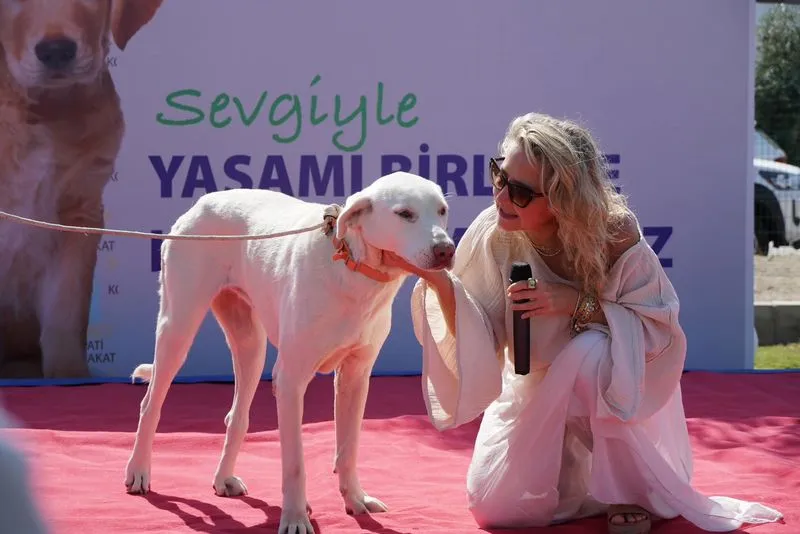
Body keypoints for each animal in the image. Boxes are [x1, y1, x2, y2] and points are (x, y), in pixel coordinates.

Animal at [122, 172, 454, 534]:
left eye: (442, 211)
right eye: (404, 214)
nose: (446, 250)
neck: (352, 266)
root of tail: (204, 202)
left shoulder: (355, 377)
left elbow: (348, 449)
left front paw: (355, 500)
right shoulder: (291, 380)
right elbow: (295, 462)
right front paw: (295, 517)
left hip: (250, 346)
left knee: (236, 416)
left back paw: (223, 478)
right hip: (177, 329)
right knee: (150, 404)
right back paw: (138, 471)